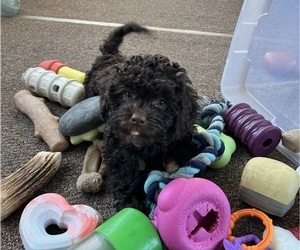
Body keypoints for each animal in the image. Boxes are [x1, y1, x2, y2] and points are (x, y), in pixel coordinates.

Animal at [83, 22, 203, 212]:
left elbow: (185, 151)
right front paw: (130, 201)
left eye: (161, 102)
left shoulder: (181, 133)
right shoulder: (117, 142)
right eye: (127, 94)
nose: (137, 119)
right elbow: (123, 172)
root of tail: (109, 56)